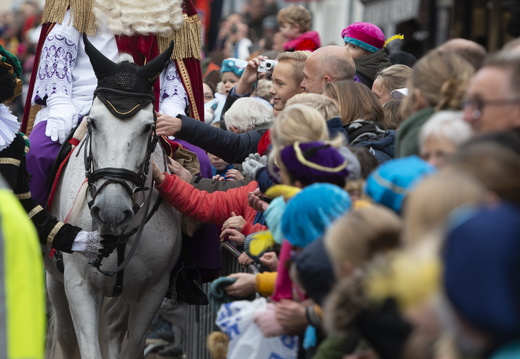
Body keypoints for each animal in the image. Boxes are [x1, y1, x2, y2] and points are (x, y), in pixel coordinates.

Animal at [45, 37, 183, 359]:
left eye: (148, 127)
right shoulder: (78, 286)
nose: (111, 210)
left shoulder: (152, 292)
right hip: (54, 282)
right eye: (93, 122)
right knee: (66, 337)